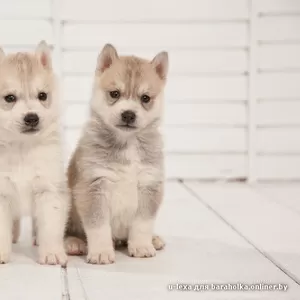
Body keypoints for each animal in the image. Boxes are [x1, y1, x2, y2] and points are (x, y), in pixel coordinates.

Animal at [0, 41, 69, 264]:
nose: (32, 118)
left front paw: (52, 253)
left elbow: (50, 227)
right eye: (9, 98)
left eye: (42, 96)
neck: (23, 146)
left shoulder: (49, 191)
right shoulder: (2, 193)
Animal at [65, 43, 168, 264]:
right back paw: (73, 242)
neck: (127, 143)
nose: (128, 114)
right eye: (114, 94)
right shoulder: (93, 187)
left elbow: (143, 224)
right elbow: (98, 227)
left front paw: (142, 245)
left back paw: (153, 239)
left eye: (145, 98)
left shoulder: (149, 185)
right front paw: (101, 252)